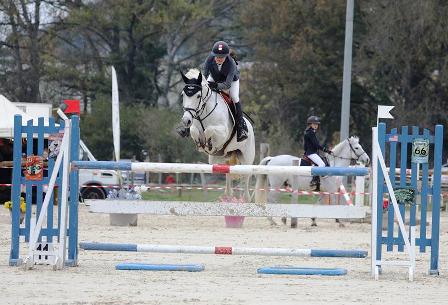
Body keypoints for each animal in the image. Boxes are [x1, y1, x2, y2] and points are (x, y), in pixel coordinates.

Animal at [179, 67, 256, 198]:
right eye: (183, 95)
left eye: (198, 96)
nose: (186, 120)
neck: (204, 111)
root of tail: (250, 127)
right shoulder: (194, 127)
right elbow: (194, 131)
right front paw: (200, 144)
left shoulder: (223, 132)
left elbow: (209, 130)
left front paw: (208, 144)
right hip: (222, 159)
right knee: (228, 176)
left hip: (247, 159)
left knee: (246, 182)